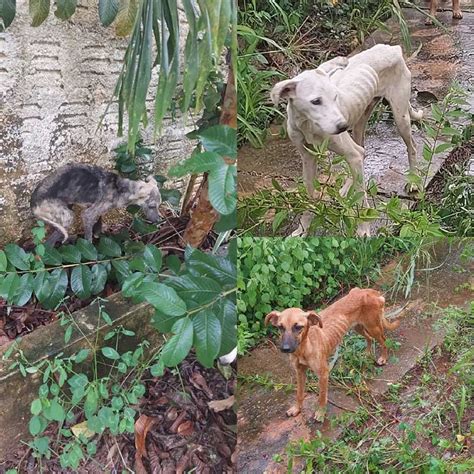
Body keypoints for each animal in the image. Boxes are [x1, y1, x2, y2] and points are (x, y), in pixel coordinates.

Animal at [31, 163, 162, 244]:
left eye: (159, 205)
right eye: (152, 206)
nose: (160, 221)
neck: (120, 188)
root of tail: (33, 204)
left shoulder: (95, 210)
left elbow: (98, 225)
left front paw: (98, 235)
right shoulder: (88, 214)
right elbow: (88, 239)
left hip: (67, 208)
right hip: (68, 216)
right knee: (49, 243)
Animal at [266, 286, 400, 420]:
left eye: (298, 327)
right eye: (280, 327)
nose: (285, 349)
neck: (304, 348)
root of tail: (370, 291)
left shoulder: (323, 374)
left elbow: (321, 396)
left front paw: (320, 413)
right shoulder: (300, 372)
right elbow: (299, 393)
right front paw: (296, 409)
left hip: (373, 327)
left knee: (384, 340)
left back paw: (383, 358)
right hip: (358, 327)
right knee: (369, 338)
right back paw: (366, 354)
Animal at [270, 43, 422, 236]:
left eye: (335, 97)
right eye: (316, 101)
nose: (342, 126)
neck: (307, 124)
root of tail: (392, 47)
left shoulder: (348, 151)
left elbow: (361, 198)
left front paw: (363, 231)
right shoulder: (308, 159)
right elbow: (310, 197)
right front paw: (302, 229)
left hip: (400, 117)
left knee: (412, 146)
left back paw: (413, 181)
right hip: (359, 121)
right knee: (362, 153)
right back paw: (345, 189)